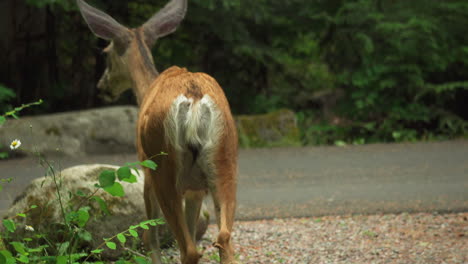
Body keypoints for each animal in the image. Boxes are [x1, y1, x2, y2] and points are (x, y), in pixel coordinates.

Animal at [76, 0, 238, 264]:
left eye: (106, 53)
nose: (101, 87)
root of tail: (194, 97)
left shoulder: (145, 172)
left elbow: (149, 235)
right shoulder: (195, 189)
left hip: (162, 163)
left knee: (187, 248)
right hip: (225, 157)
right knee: (223, 239)